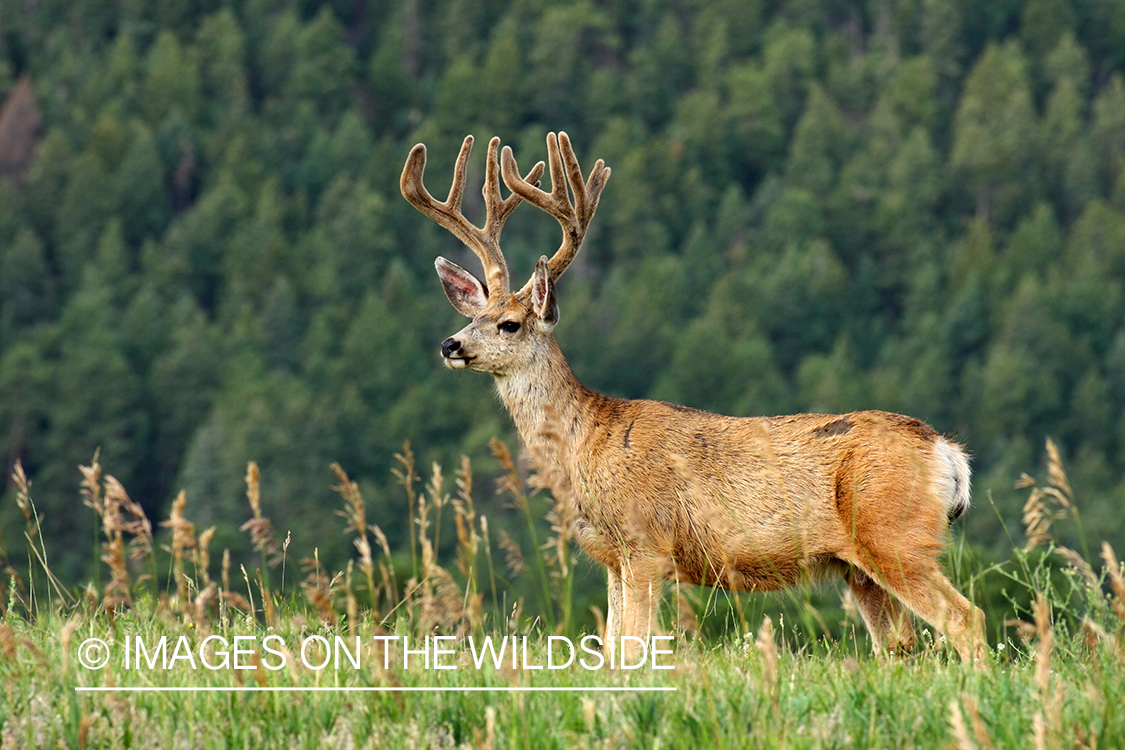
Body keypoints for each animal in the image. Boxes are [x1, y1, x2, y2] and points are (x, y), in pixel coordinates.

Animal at [400, 132, 987, 664]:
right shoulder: (612, 557)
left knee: (966, 618)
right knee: (901, 645)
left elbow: (632, 649)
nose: (451, 345)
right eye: (471, 315)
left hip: (894, 532)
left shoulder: (645, 542)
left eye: (510, 323)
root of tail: (947, 451)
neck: (584, 442)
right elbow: (610, 649)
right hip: (858, 565)